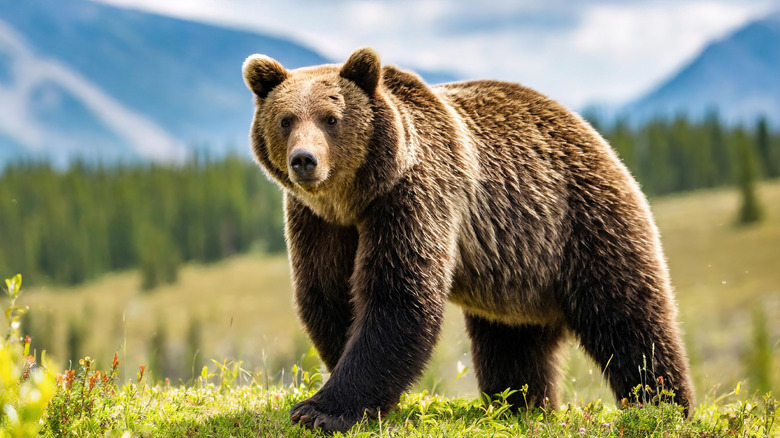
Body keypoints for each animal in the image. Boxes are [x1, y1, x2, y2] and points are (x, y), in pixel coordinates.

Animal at [241, 47, 692, 432]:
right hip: (517, 271)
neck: (355, 197)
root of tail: (594, 135)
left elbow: (398, 296)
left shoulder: (415, 194)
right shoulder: (317, 221)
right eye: (286, 119)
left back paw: (664, 407)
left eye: (331, 117)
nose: (305, 160)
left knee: (631, 321)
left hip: (583, 224)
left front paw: (319, 410)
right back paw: (522, 405)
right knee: (512, 345)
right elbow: (327, 293)